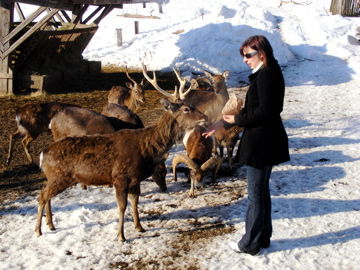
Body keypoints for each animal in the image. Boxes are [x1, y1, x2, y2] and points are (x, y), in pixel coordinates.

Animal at [35, 98, 208, 242]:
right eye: (186, 109)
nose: (205, 117)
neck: (146, 148)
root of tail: (42, 155)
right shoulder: (120, 177)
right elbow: (122, 207)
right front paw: (121, 236)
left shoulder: (135, 179)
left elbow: (135, 203)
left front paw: (139, 227)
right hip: (60, 176)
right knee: (42, 195)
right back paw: (38, 230)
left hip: (55, 177)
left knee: (46, 194)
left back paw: (51, 224)